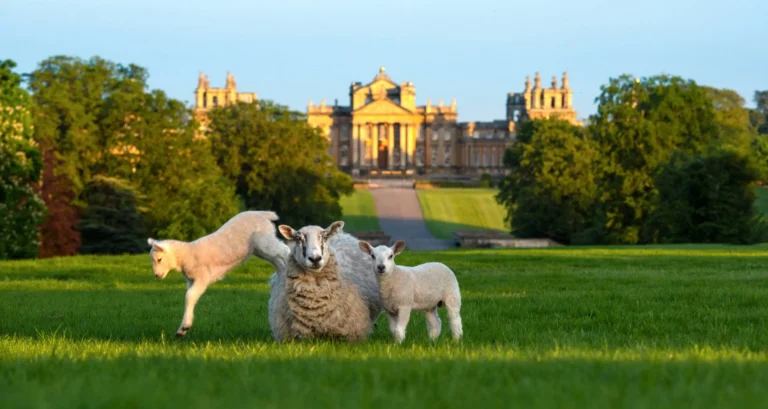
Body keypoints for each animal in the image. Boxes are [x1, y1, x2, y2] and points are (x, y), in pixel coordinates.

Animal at [147, 210, 290, 337]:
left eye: (159, 259)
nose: (157, 275)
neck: (187, 254)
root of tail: (262, 213)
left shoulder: (202, 277)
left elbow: (189, 296)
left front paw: (185, 326)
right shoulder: (191, 280)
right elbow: (190, 298)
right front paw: (183, 329)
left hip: (263, 240)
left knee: (284, 251)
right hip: (259, 248)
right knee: (278, 260)